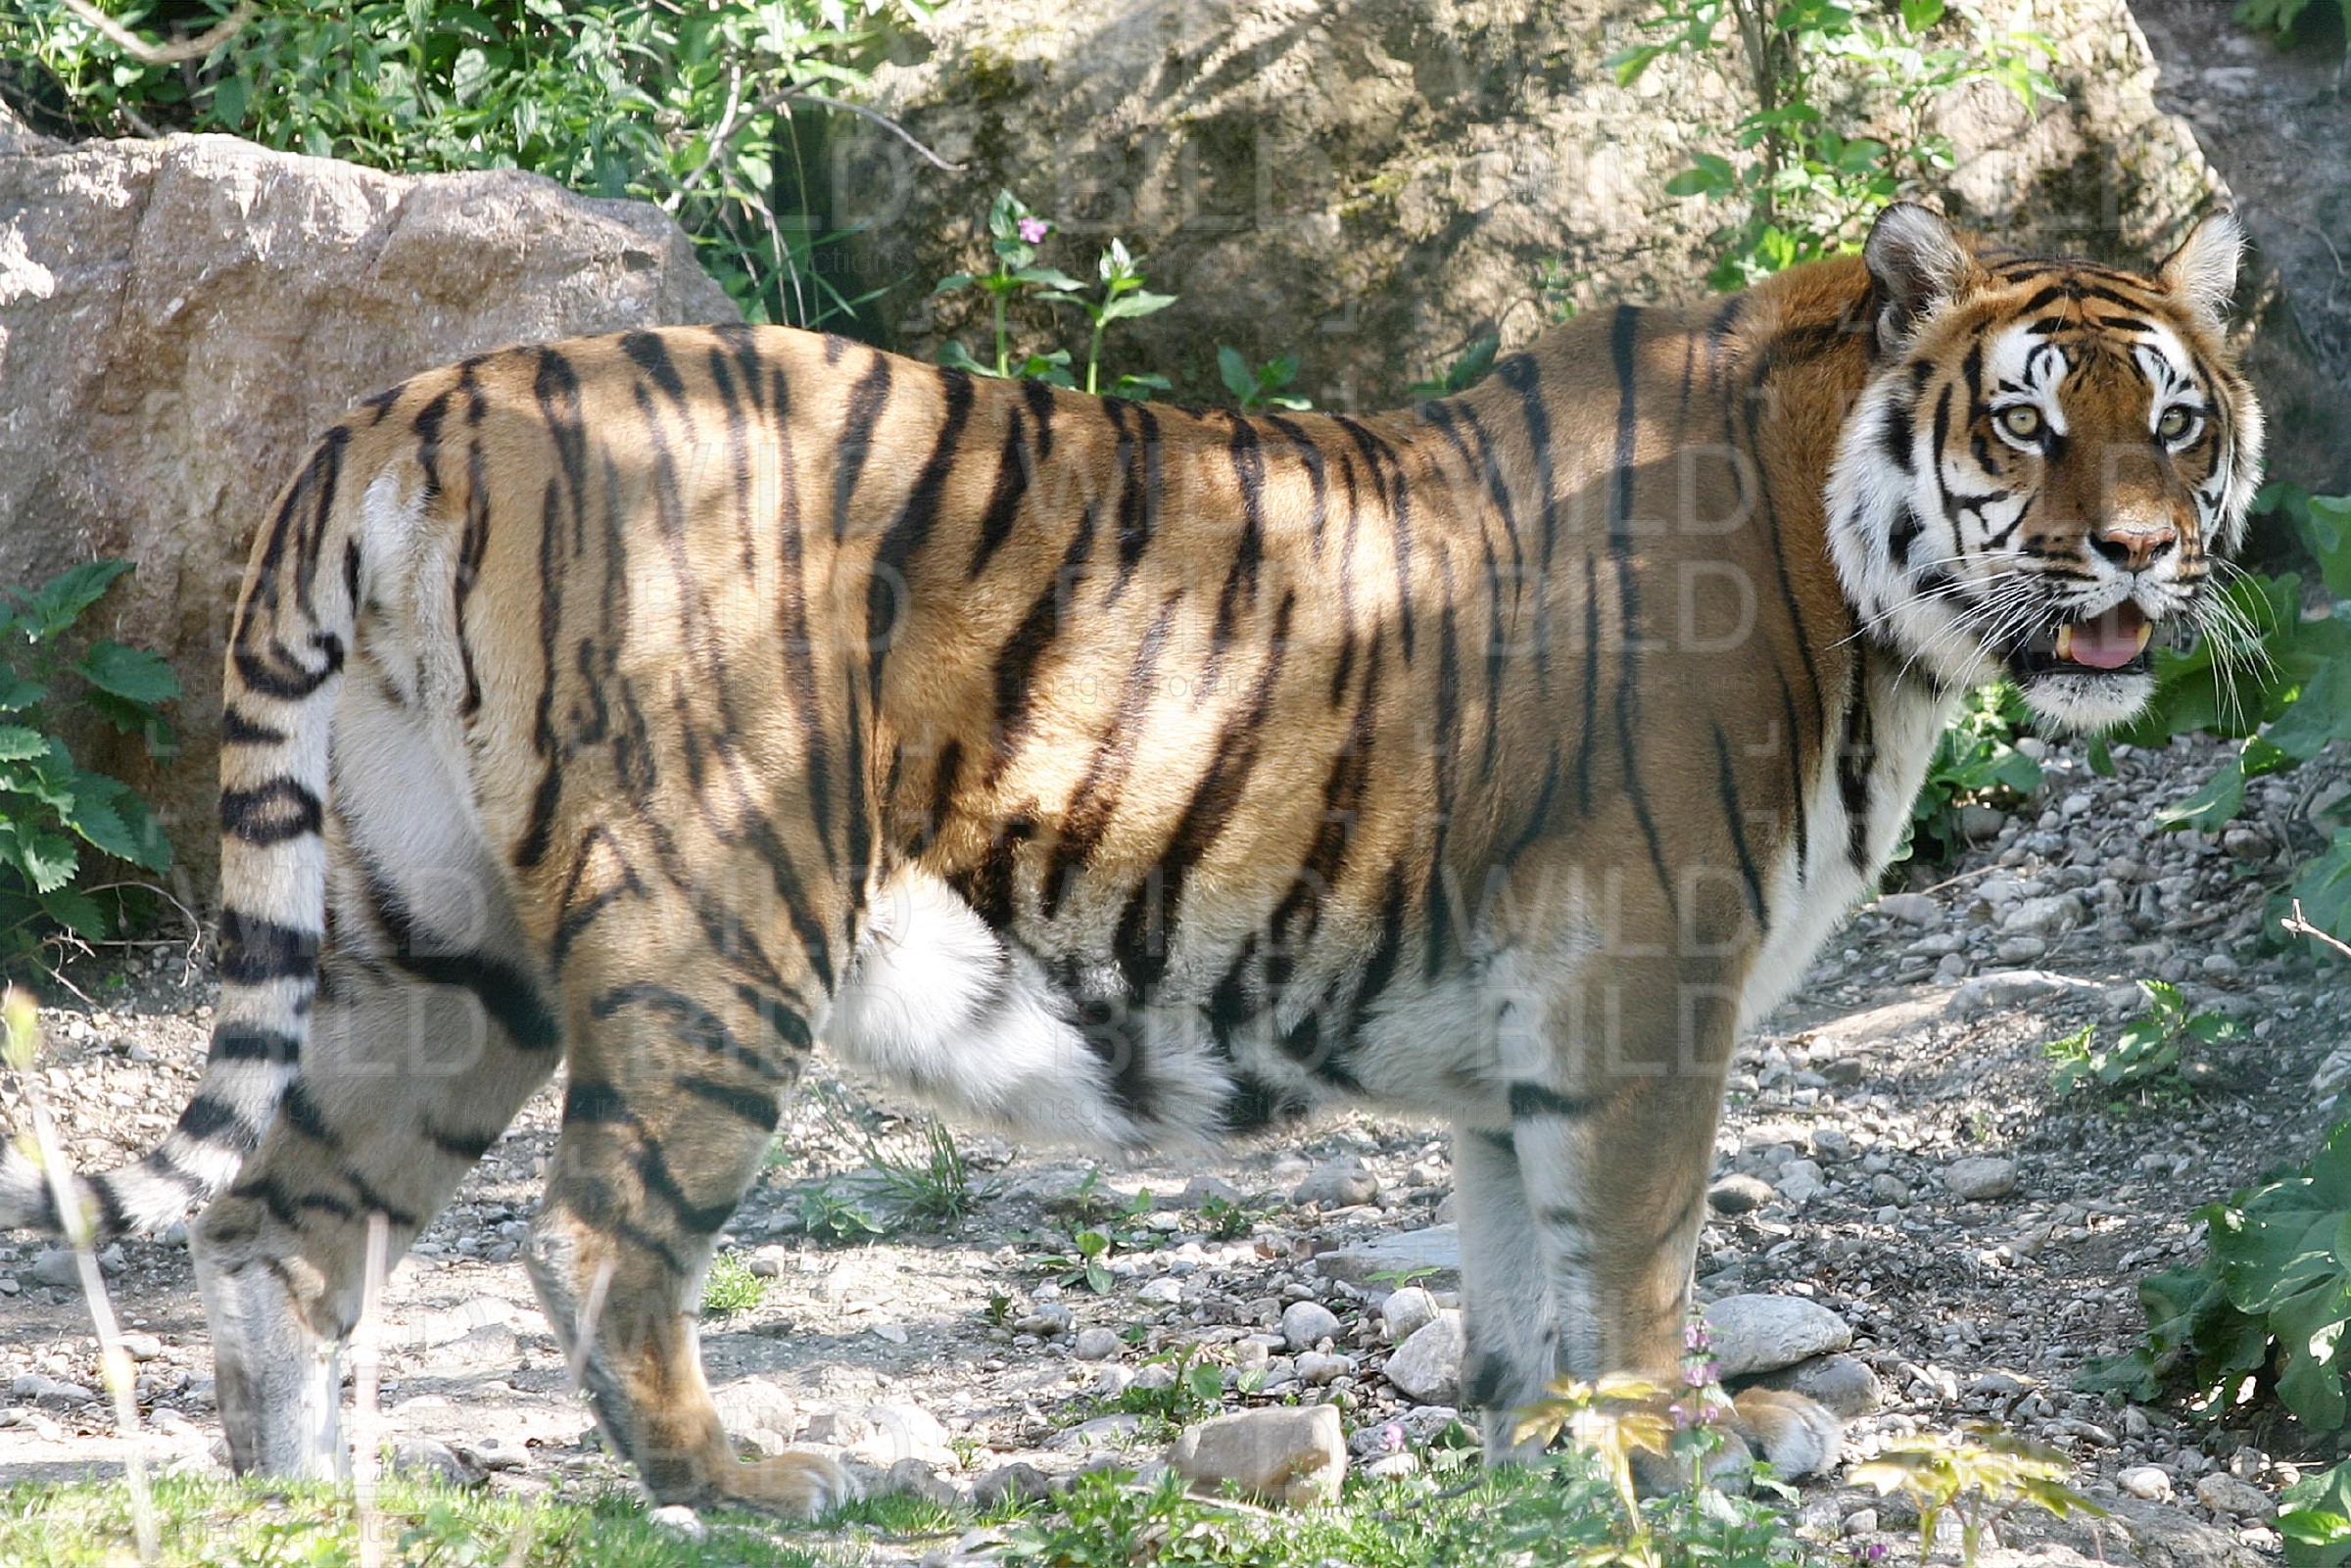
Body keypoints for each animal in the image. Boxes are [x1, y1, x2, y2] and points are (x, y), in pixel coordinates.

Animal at [1, 201, 2259, 1514]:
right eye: (2034, 423)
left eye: (2173, 416)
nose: (2146, 553)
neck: (1862, 578)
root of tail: (406, 404)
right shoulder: (1647, 973)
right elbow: (1638, 1256)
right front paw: (1679, 1456)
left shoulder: (1532, 1022)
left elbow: (1520, 1268)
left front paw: (1539, 1458)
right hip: (716, 908)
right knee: (589, 1239)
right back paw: (776, 1481)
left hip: (431, 939)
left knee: (287, 1216)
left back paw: (300, 1504)